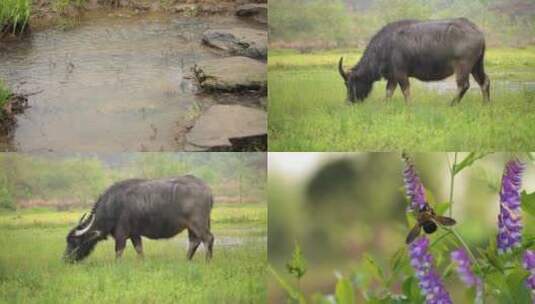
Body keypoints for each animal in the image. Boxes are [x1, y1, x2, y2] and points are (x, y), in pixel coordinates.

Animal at [62, 176, 214, 264]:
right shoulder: (135, 234)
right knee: (194, 241)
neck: (113, 205)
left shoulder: (121, 234)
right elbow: (139, 249)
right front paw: (142, 262)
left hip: (198, 223)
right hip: (191, 226)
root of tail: (206, 189)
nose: (65, 259)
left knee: (207, 239)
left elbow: (118, 251)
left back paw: (208, 261)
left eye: (74, 242)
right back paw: (186, 260)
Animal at [340, 18, 490, 105]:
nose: (349, 101)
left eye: (349, 83)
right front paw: (386, 105)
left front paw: (408, 106)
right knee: (484, 81)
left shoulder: (401, 74)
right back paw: (486, 103)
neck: (385, 46)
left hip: (463, 66)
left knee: (463, 85)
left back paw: (452, 104)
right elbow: (389, 92)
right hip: (477, 65)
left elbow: (405, 91)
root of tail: (478, 31)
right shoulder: (393, 77)